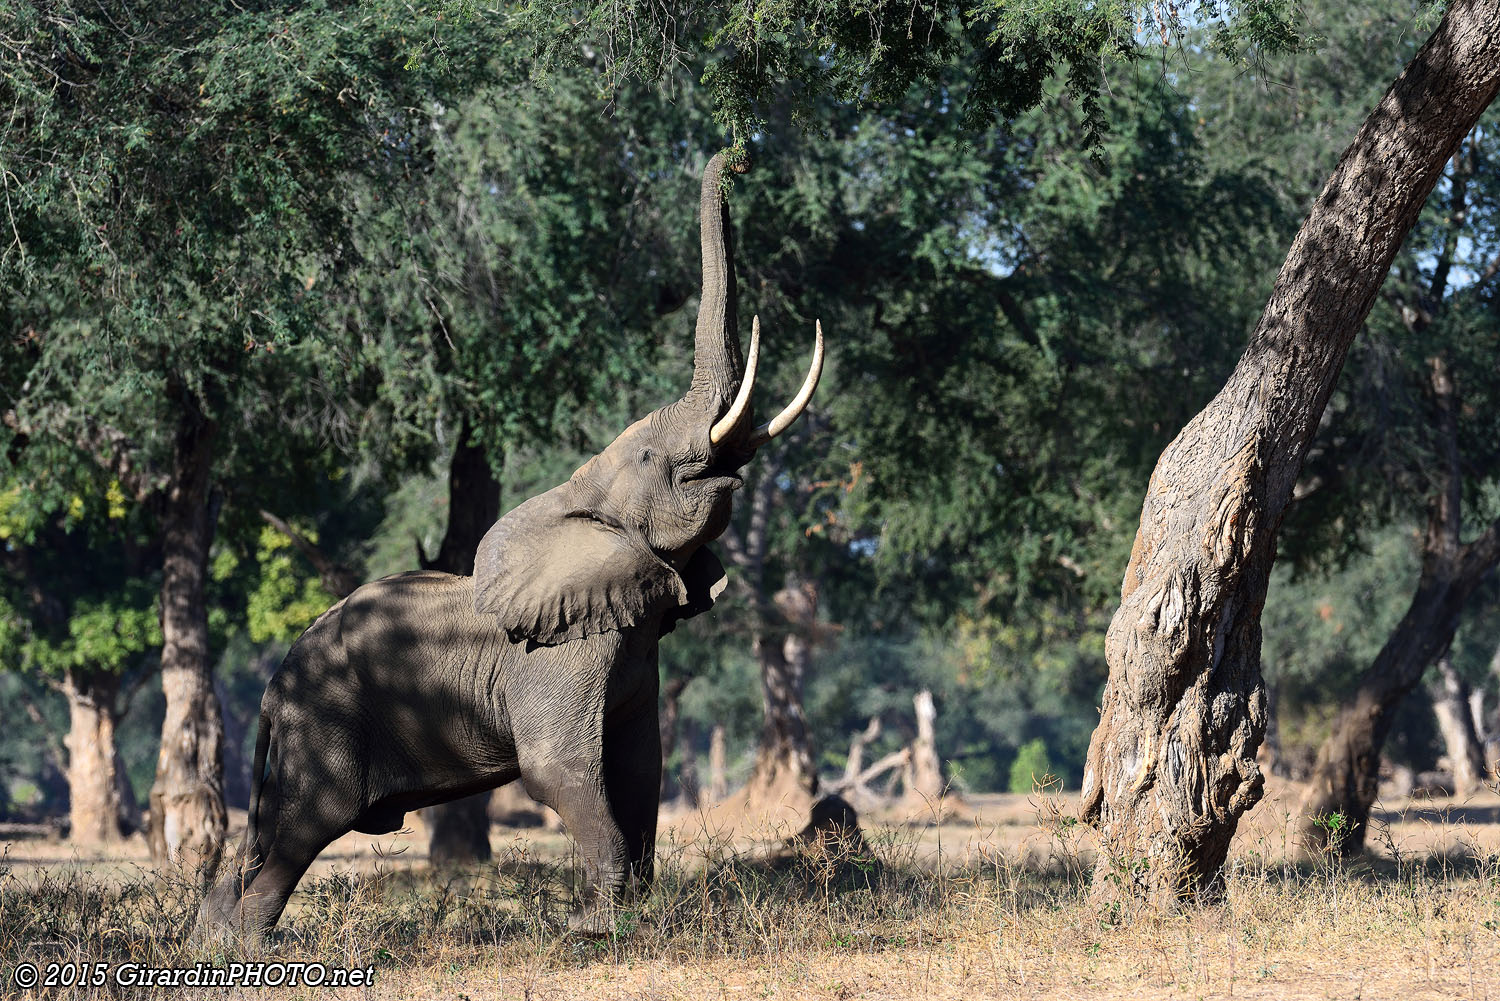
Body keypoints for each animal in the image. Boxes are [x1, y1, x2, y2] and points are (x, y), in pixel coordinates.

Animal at [196, 150, 824, 938]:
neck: (577, 500)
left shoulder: (631, 642)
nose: (736, 155)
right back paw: (236, 944)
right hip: (326, 721)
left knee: (274, 833)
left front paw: (629, 915)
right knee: (303, 827)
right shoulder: (559, 653)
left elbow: (639, 767)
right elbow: (561, 767)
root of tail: (274, 687)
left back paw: (212, 937)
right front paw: (599, 931)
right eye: (653, 458)